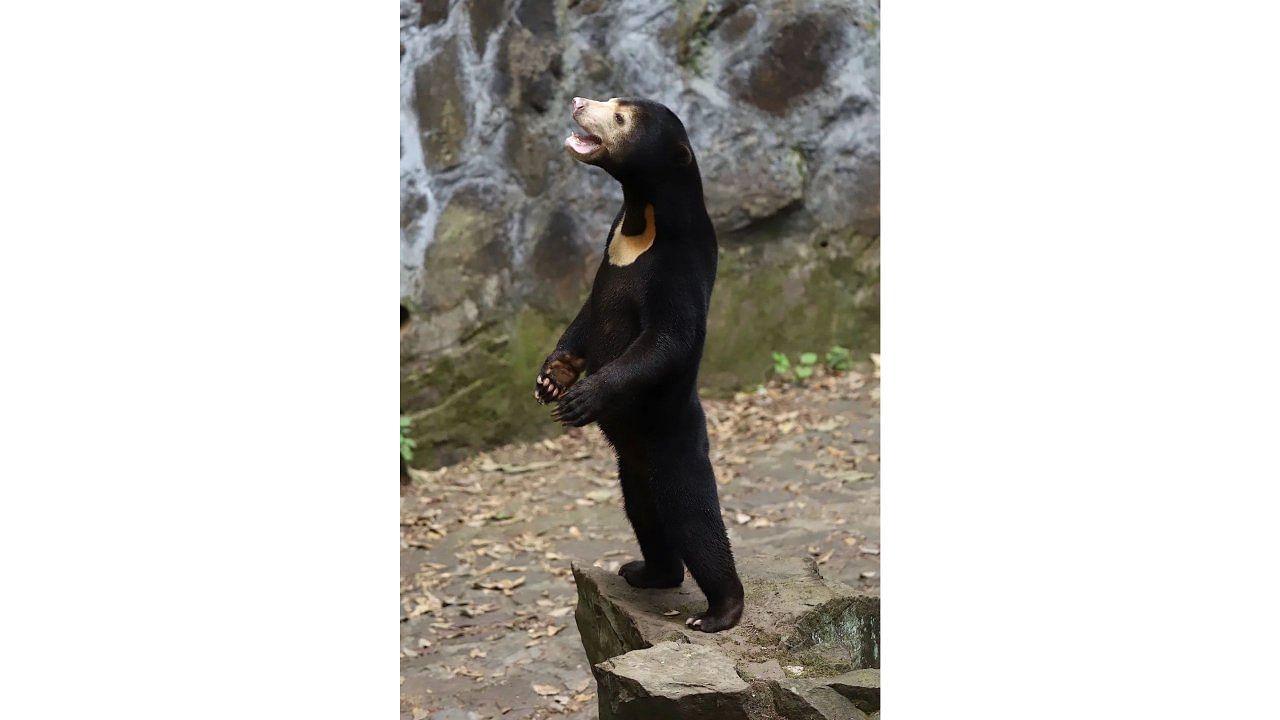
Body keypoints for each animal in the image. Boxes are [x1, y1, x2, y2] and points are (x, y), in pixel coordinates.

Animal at [532, 95, 747, 627]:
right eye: (612, 99)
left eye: (619, 117)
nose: (577, 101)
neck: (641, 217)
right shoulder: (608, 252)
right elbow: (587, 315)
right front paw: (551, 380)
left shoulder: (677, 266)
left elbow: (666, 338)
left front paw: (581, 399)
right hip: (632, 466)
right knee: (644, 513)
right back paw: (647, 572)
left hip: (672, 443)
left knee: (694, 517)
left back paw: (719, 611)